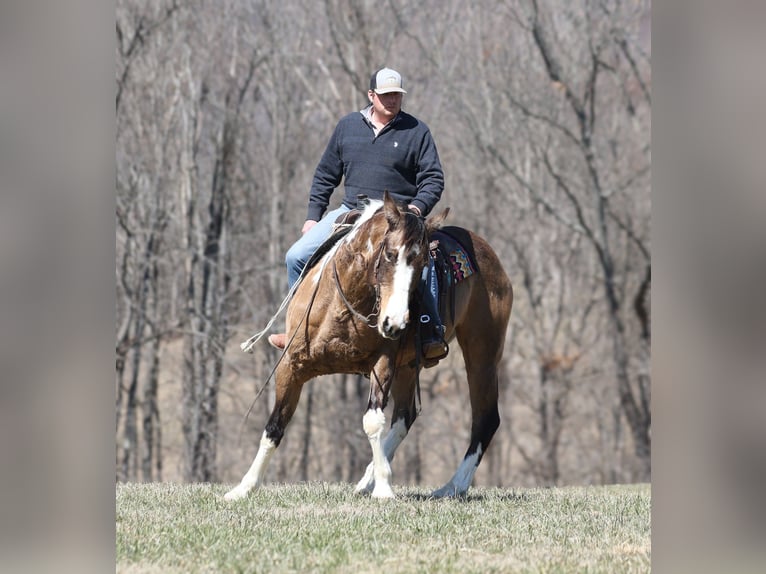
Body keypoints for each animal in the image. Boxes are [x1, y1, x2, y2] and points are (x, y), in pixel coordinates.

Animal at [225, 192, 513, 500]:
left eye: (424, 262)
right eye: (390, 254)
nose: (395, 323)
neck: (342, 306)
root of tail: (489, 255)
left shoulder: (383, 362)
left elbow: (372, 421)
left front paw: (385, 488)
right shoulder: (291, 365)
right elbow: (274, 426)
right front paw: (244, 487)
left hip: (482, 355)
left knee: (485, 418)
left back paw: (451, 487)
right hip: (410, 365)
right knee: (405, 416)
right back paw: (367, 480)